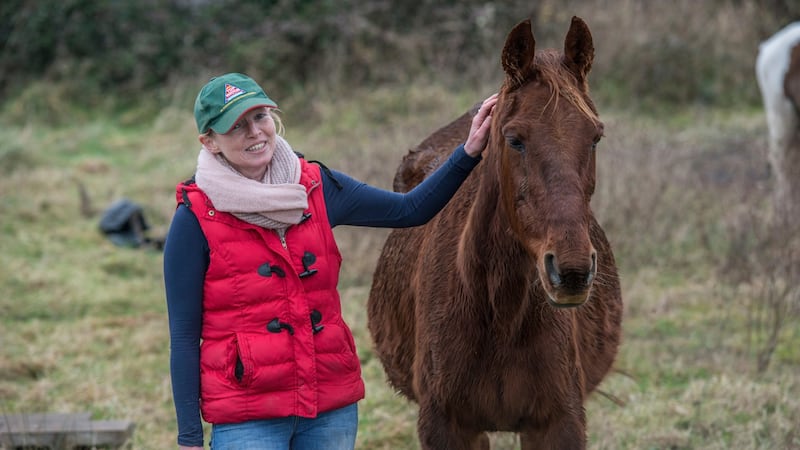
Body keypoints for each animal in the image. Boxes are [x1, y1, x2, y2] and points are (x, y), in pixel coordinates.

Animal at [367, 16, 623, 450]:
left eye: (595, 137)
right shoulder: (448, 427)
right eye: (514, 139)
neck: (497, 311)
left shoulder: (557, 424)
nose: (571, 272)